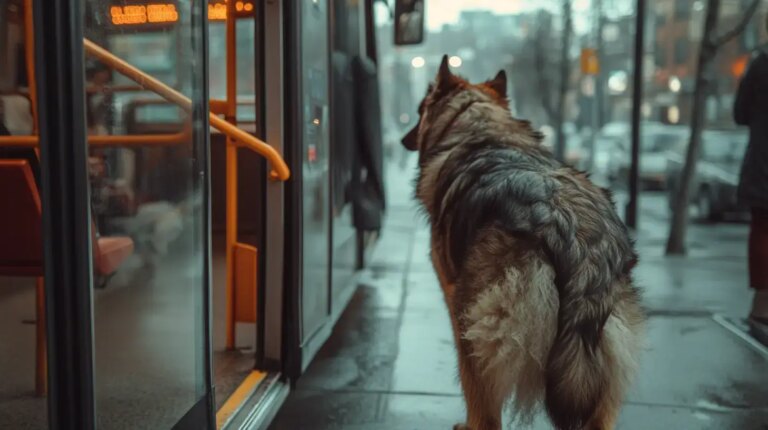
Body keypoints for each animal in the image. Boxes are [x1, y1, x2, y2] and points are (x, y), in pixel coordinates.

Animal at [404, 57, 644, 430]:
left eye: (419, 111)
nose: (404, 139)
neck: (479, 125)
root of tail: (574, 231)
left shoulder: (451, 295)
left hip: (473, 325)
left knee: (486, 411)